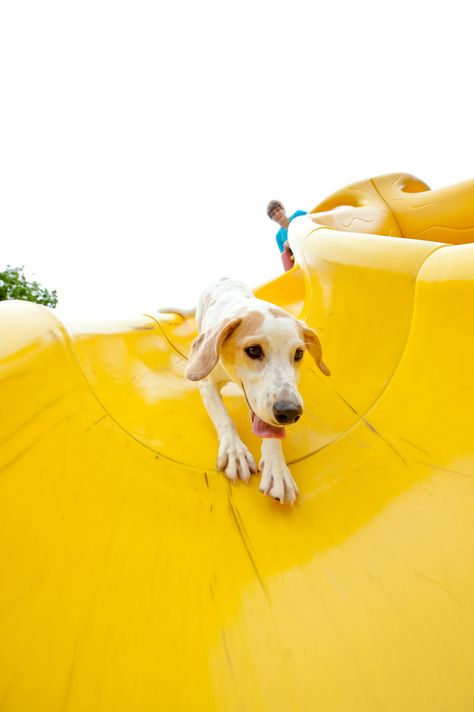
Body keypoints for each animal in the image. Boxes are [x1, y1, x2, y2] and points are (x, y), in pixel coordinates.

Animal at [183, 278, 332, 506]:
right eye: (253, 350)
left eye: (298, 353)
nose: (289, 412)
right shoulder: (206, 382)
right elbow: (223, 418)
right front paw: (235, 451)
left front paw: (277, 467)